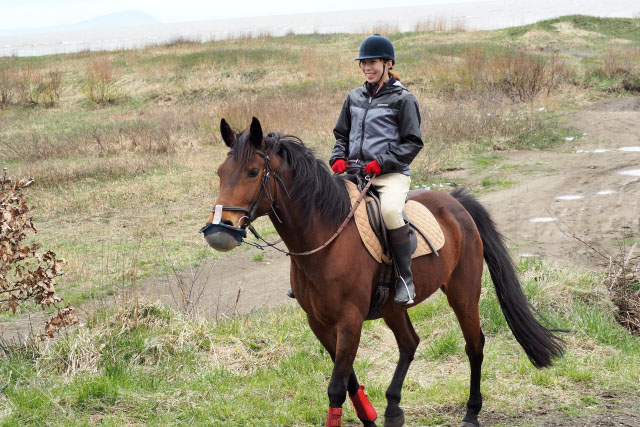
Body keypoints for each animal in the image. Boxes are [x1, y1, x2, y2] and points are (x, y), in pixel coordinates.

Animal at [202, 118, 564, 427]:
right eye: (220, 172)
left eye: (252, 172)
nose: (220, 230)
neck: (326, 235)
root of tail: (456, 203)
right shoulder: (319, 322)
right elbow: (348, 380)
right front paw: (370, 416)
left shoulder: (350, 320)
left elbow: (336, 386)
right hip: (393, 306)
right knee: (410, 343)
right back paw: (392, 408)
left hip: (463, 293)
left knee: (474, 345)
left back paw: (471, 413)